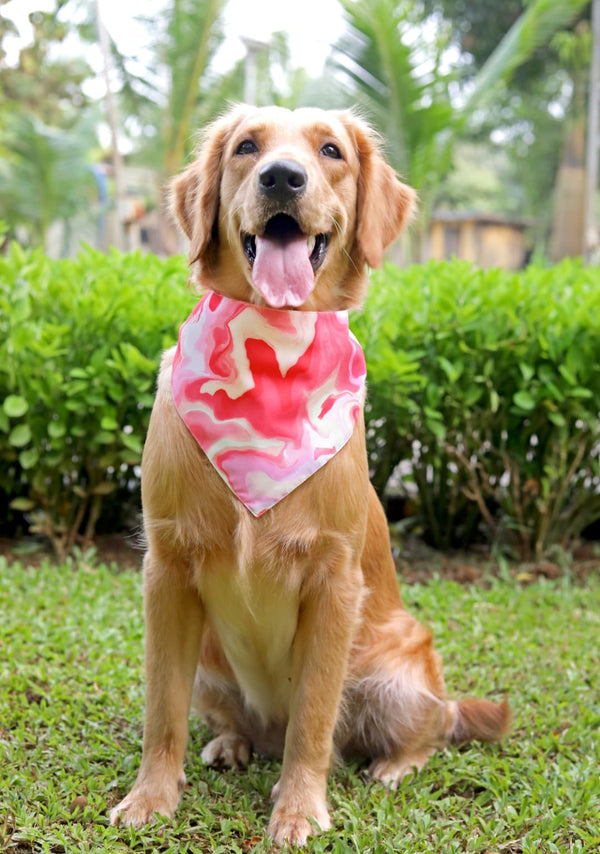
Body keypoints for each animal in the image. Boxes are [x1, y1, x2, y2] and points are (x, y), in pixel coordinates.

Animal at [110, 107, 508, 848]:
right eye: (246, 147)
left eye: (330, 151)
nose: (282, 178)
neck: (270, 351)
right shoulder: (167, 570)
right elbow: (161, 710)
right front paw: (151, 797)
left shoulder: (333, 579)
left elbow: (314, 720)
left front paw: (298, 808)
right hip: (209, 659)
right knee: (237, 720)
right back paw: (233, 742)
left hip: (395, 672)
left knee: (432, 723)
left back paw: (393, 765)